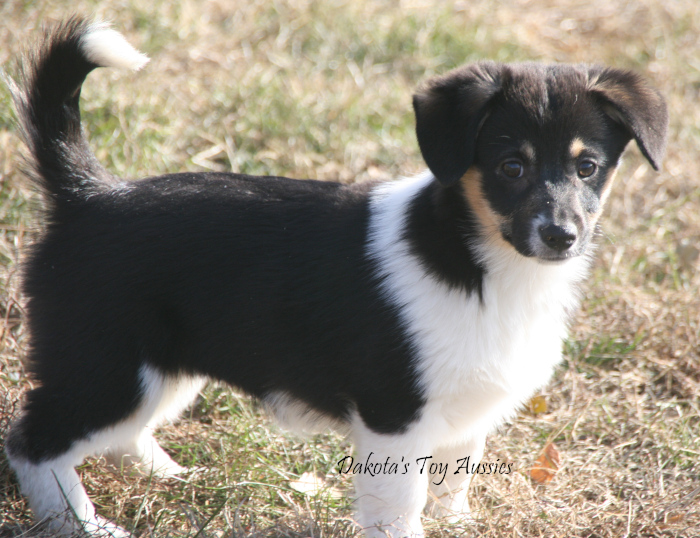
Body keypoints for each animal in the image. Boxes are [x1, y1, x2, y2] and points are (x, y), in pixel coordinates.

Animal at [4, 16, 668, 536]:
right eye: (511, 167)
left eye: (588, 167)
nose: (561, 236)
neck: (482, 264)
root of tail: (89, 195)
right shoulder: (396, 417)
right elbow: (400, 508)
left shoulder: (465, 412)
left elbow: (453, 484)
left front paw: (458, 524)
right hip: (110, 368)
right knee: (34, 443)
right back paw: (81, 524)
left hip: (159, 371)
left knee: (115, 434)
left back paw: (172, 475)